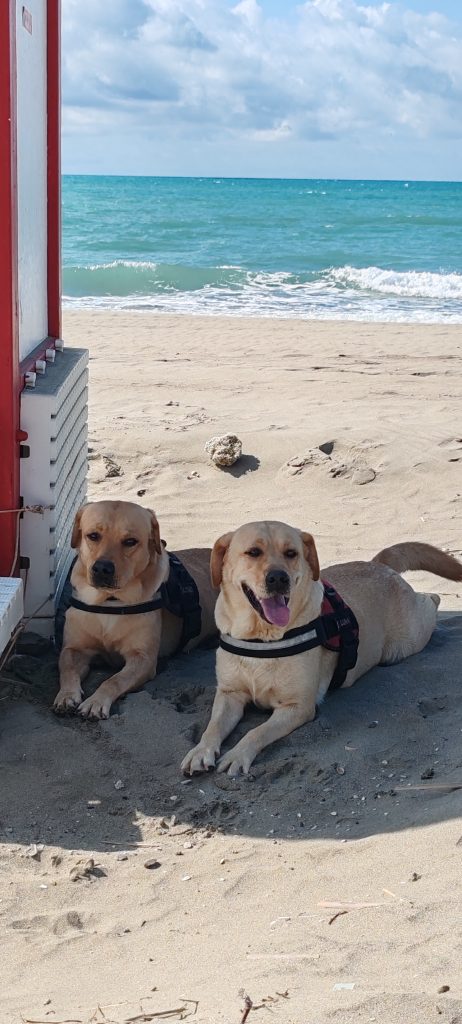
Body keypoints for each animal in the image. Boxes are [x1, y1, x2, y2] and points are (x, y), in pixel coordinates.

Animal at [54, 500, 216, 719]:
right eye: (93, 536)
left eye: (130, 541)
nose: (102, 568)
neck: (110, 601)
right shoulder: (74, 649)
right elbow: (67, 669)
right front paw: (66, 695)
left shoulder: (142, 659)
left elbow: (113, 680)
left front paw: (96, 701)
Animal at [181, 520, 462, 776]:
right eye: (253, 552)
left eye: (291, 553)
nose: (278, 578)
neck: (262, 638)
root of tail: (378, 564)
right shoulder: (230, 694)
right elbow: (213, 726)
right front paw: (200, 751)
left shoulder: (297, 707)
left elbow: (256, 731)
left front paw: (238, 754)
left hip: (410, 638)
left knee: (433, 600)